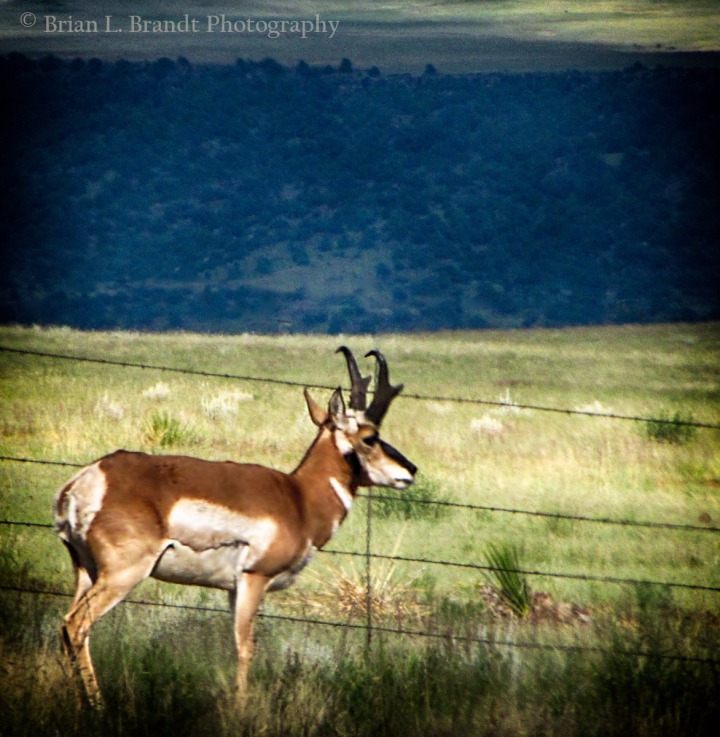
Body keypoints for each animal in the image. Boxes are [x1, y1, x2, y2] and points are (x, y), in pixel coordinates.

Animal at [54, 348, 416, 704]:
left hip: (86, 572)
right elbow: (245, 649)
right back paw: (98, 706)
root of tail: (87, 479)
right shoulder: (253, 579)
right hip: (123, 574)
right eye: (370, 437)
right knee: (76, 624)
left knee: (65, 629)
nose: (410, 470)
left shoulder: (231, 590)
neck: (299, 497)